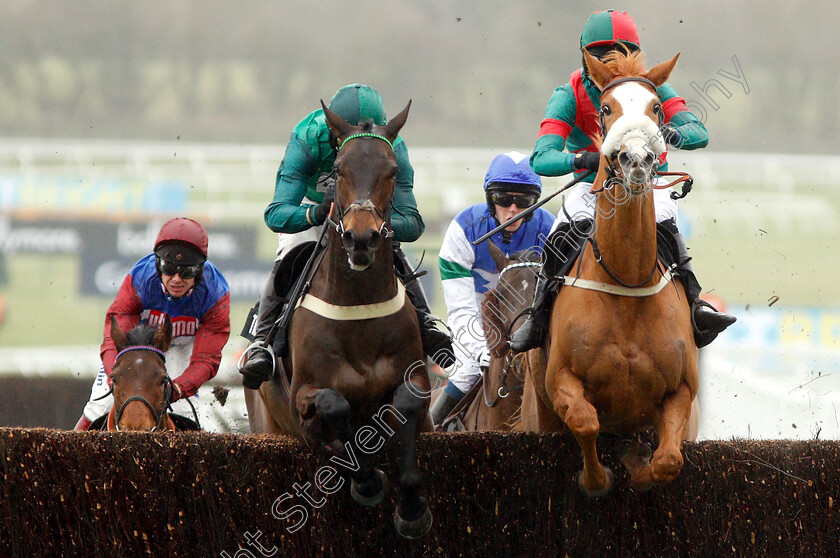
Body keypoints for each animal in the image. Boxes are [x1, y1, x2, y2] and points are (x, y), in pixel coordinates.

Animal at [240, 99, 430, 540]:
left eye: (392, 170)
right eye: (339, 168)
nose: (361, 238)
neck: (359, 310)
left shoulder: (417, 379)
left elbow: (407, 402)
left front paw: (412, 506)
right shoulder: (303, 404)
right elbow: (333, 406)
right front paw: (368, 481)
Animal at [520, 48, 700, 494]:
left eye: (656, 108)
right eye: (605, 108)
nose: (636, 159)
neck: (627, 279)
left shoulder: (682, 390)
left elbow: (668, 460)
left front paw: (640, 467)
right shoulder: (561, 379)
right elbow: (585, 421)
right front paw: (597, 480)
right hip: (537, 412)